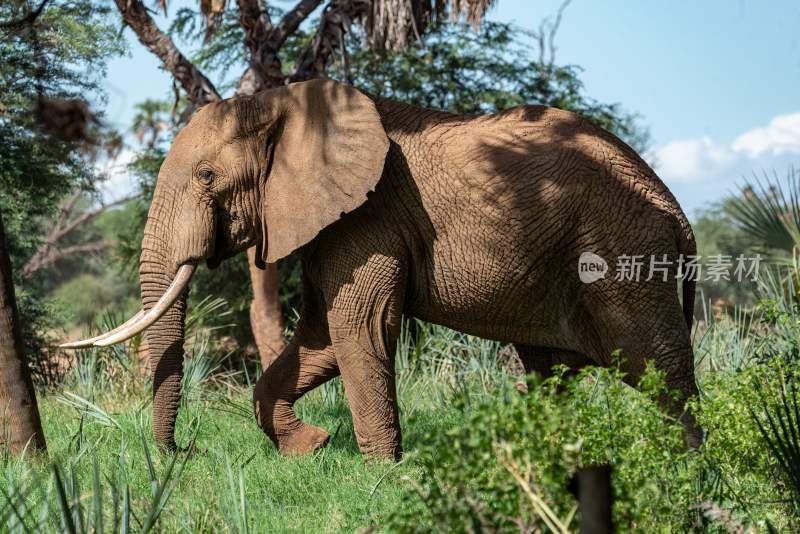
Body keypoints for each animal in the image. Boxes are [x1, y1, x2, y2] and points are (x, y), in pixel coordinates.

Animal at [61, 77, 700, 458]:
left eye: (206, 176)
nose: (183, 454)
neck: (284, 101)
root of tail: (675, 208)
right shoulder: (332, 222)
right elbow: (320, 337)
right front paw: (311, 447)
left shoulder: (369, 217)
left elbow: (358, 327)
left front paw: (384, 475)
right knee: (553, 372)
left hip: (620, 252)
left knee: (659, 368)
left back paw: (688, 474)